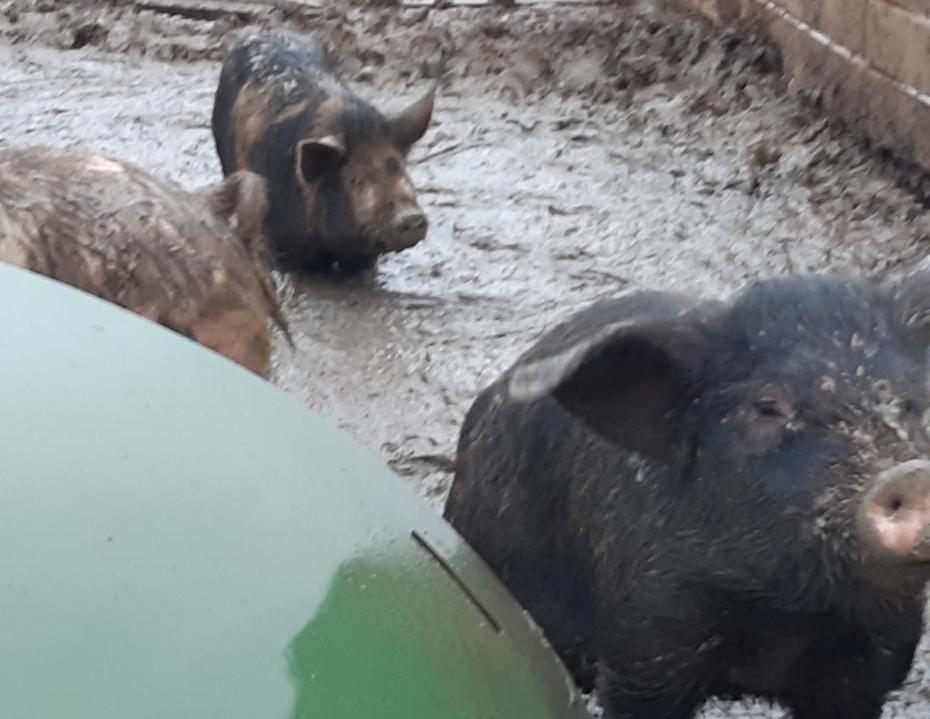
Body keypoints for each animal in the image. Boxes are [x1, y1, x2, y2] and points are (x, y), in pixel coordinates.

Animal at [444, 273, 930, 719]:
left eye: (911, 401)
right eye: (767, 407)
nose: (912, 473)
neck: (790, 614)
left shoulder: (876, 654)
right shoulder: (647, 640)